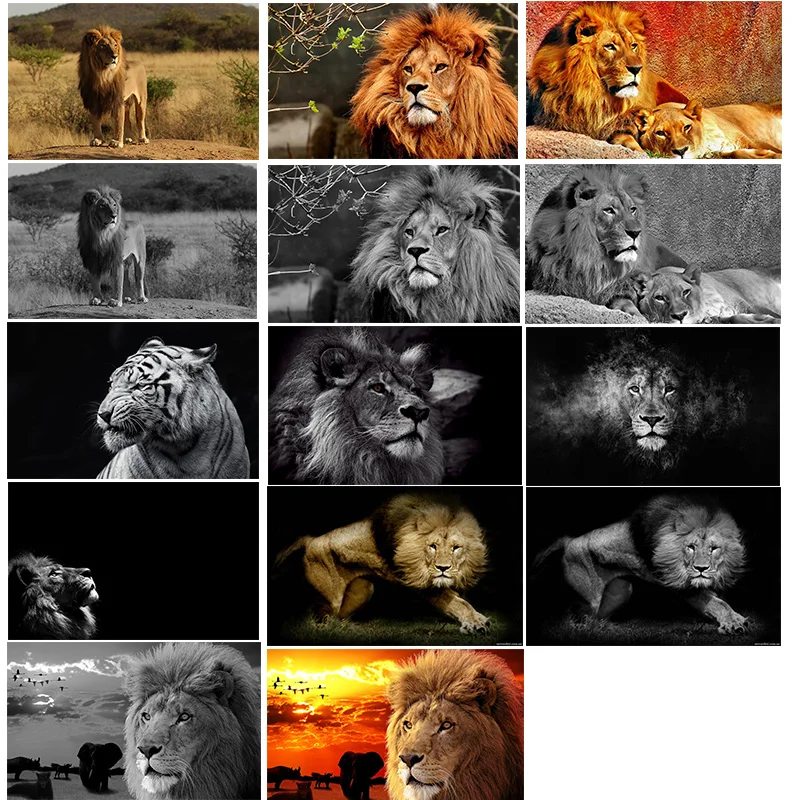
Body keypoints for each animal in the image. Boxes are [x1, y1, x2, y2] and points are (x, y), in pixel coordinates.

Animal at [273, 493, 490, 632]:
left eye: (456, 547)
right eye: (433, 546)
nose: (443, 568)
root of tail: (310, 540)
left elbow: (460, 598)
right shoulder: (421, 582)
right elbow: (457, 603)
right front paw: (476, 622)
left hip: (364, 589)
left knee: (339, 616)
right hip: (329, 597)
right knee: (319, 616)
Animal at [533, 494, 749, 634]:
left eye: (714, 548)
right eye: (691, 547)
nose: (701, 569)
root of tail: (569, 540)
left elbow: (717, 599)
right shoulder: (683, 586)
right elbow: (718, 603)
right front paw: (734, 622)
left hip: (622, 590)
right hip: (589, 597)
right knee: (576, 617)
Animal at [610, 99, 782, 158]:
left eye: (687, 127)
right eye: (660, 133)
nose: (681, 152)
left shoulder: (747, 139)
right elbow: (736, 153)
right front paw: (766, 155)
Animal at [612, 265, 781, 324]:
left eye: (686, 292)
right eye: (659, 298)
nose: (680, 316)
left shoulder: (747, 304)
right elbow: (735, 318)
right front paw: (765, 320)